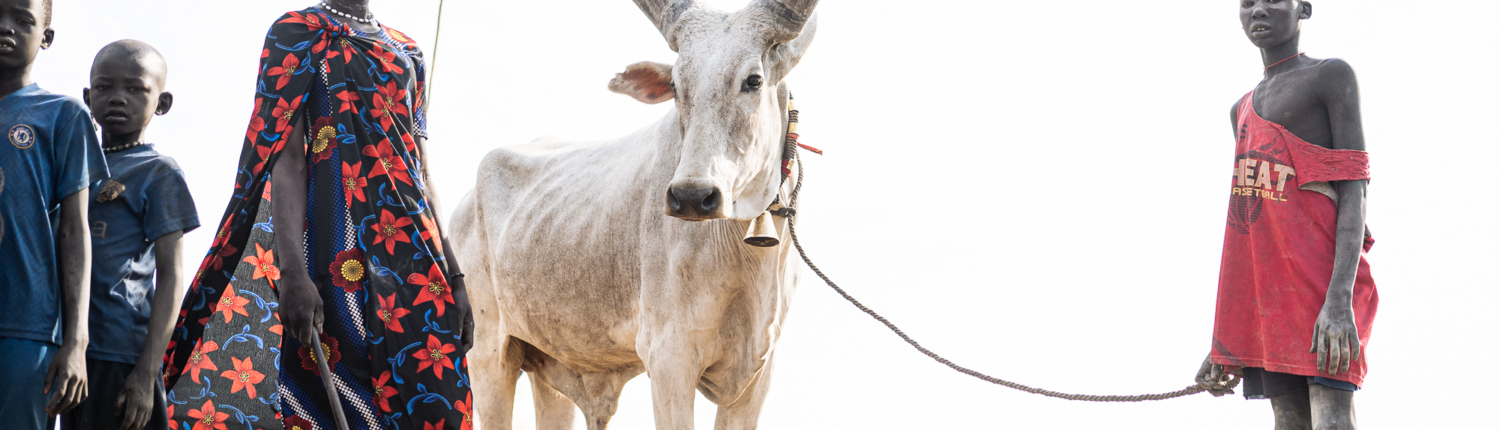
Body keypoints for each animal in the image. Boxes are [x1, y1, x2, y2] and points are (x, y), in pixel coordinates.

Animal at [448, 0, 820, 429]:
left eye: (754, 80)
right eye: (676, 84)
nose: (691, 196)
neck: (744, 253)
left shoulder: (757, 375)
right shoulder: (669, 356)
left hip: (548, 367)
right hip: (487, 353)